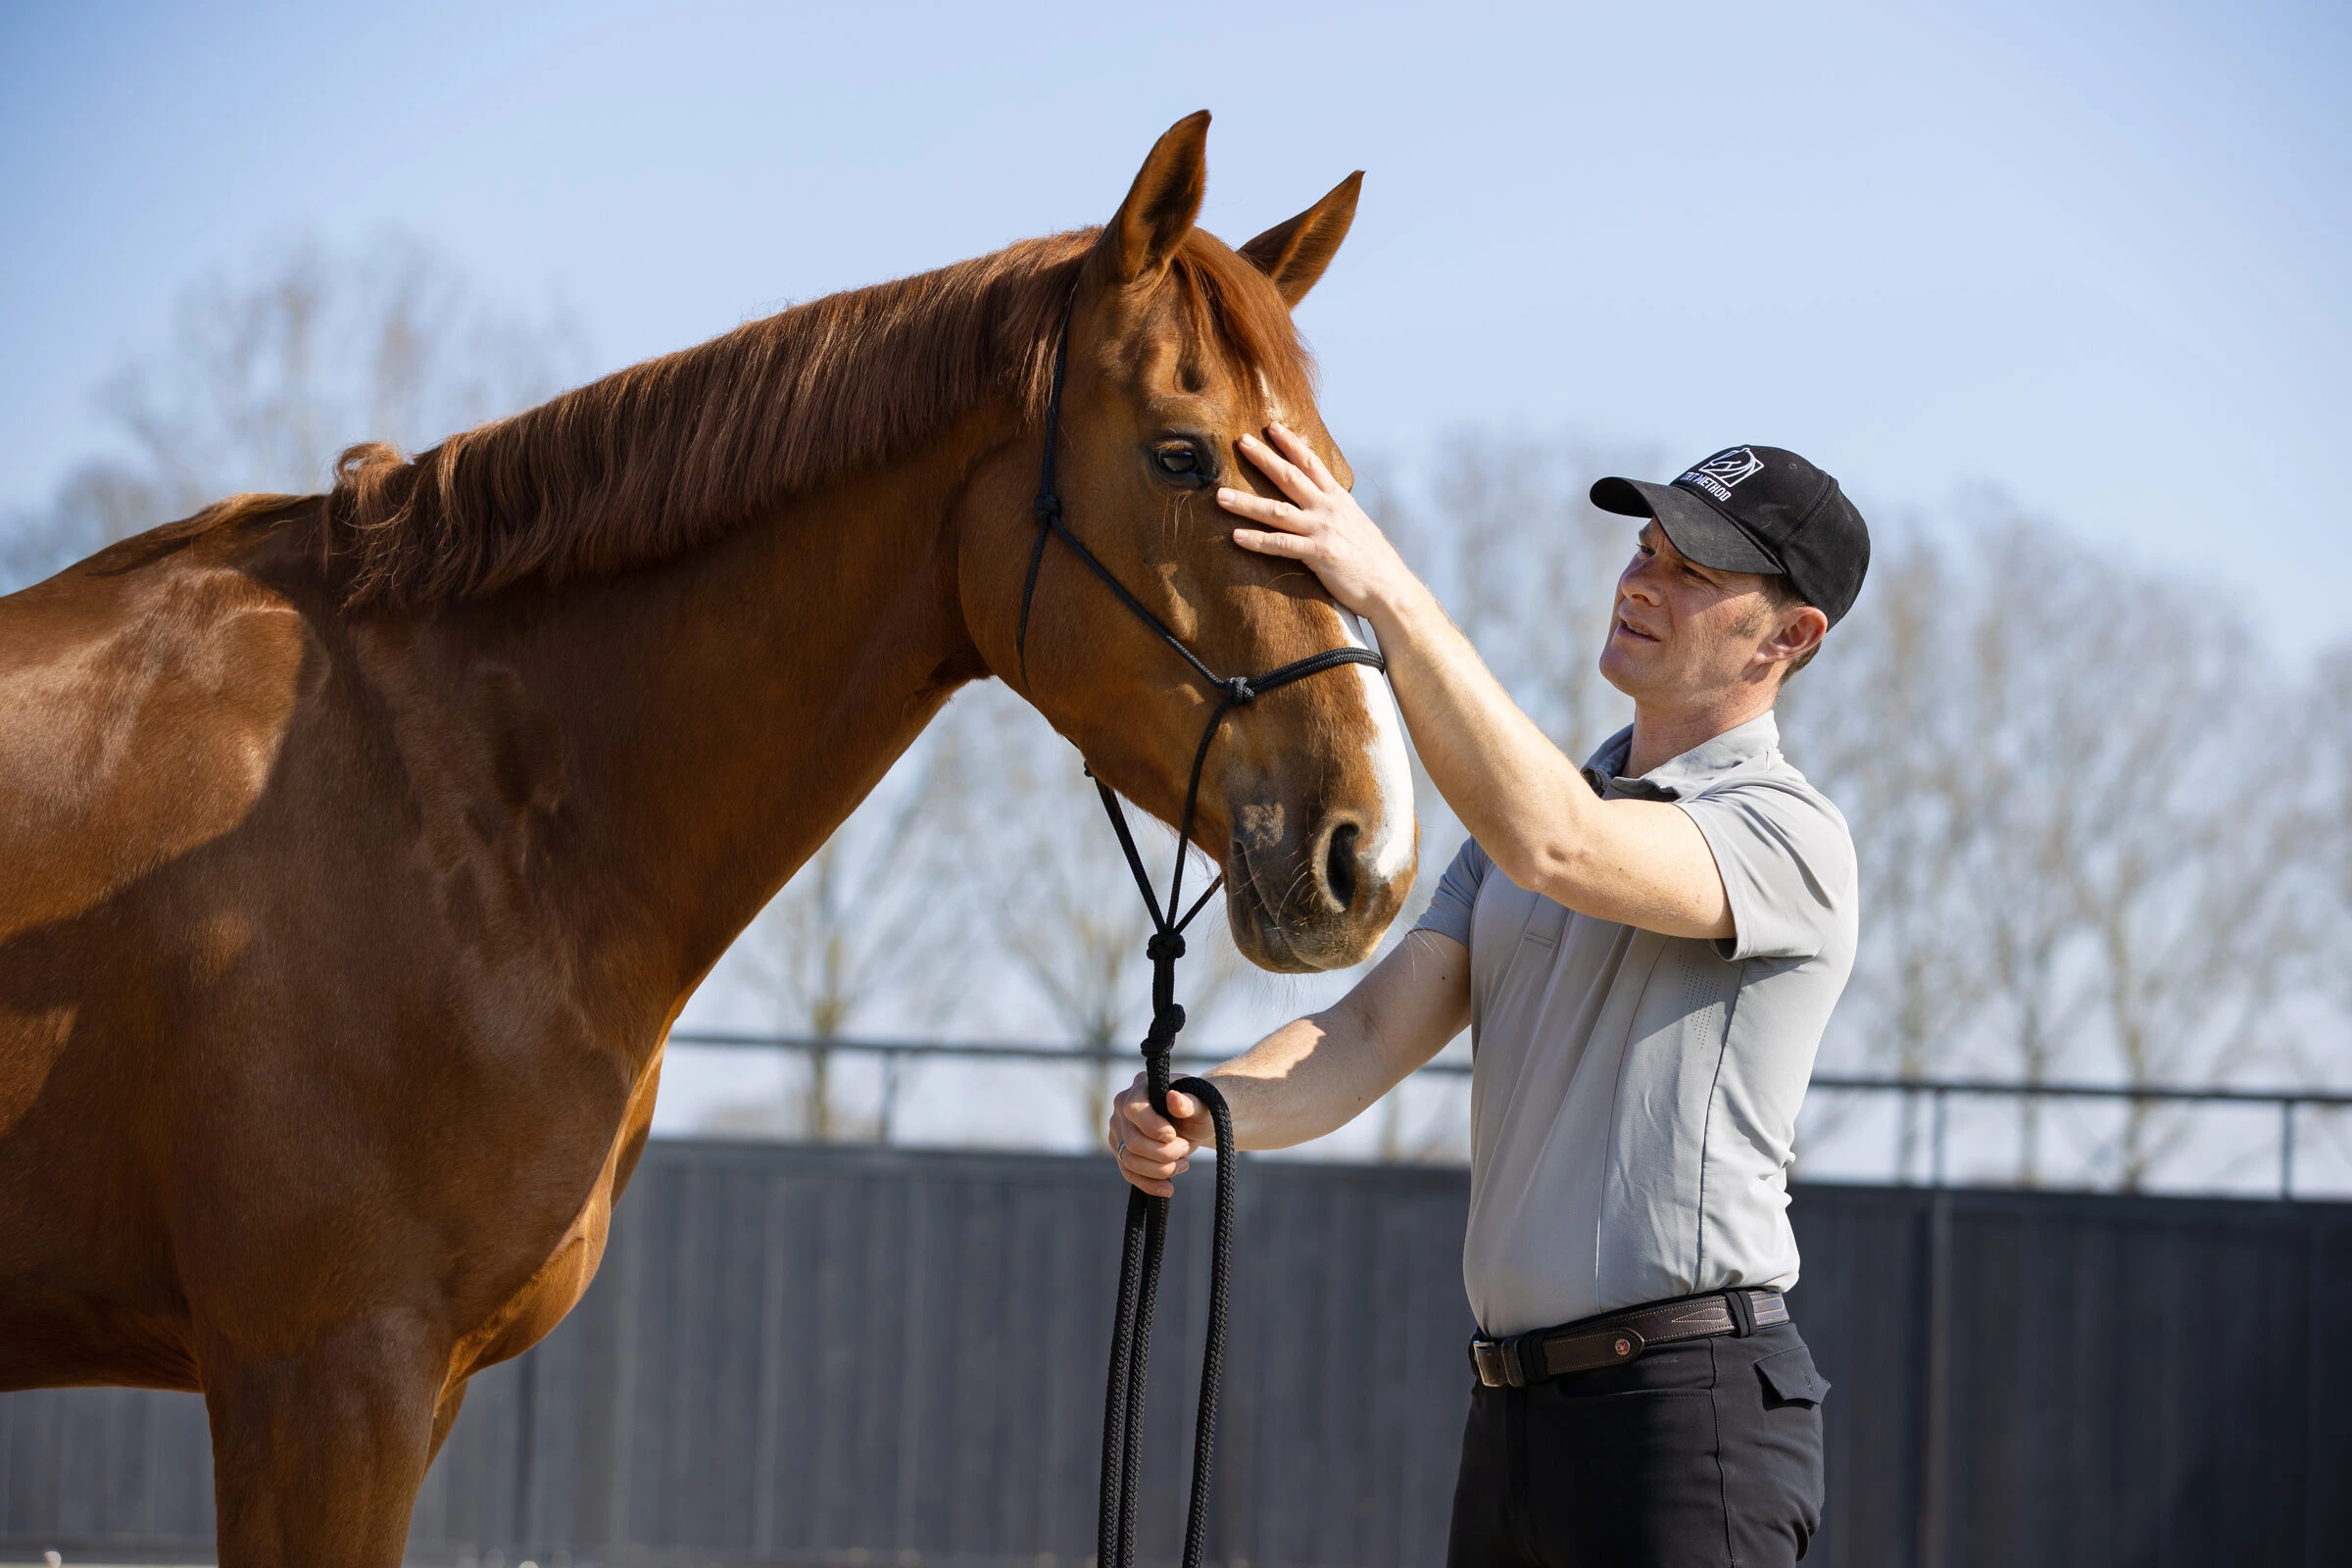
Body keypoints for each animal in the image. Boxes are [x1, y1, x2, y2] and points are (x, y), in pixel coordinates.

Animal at [0, 111, 1416, 1565]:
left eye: (1332, 481)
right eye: (1182, 453)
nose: (1367, 851)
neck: (456, 803)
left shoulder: (411, 1386)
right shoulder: (323, 1378)